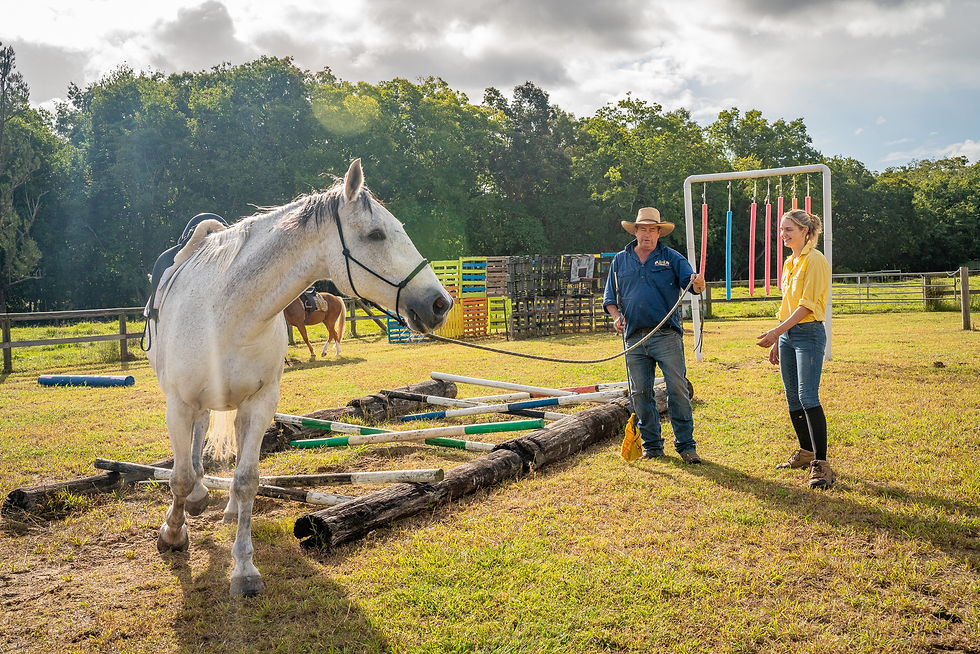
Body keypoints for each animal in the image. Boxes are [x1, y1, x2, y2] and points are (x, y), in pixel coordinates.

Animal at [146, 159, 452, 596]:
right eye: (375, 234)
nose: (440, 303)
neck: (225, 314)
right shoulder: (179, 404)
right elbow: (180, 477)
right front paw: (173, 534)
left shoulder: (261, 402)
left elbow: (246, 479)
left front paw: (244, 568)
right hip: (194, 403)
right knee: (196, 443)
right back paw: (199, 498)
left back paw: (226, 508)